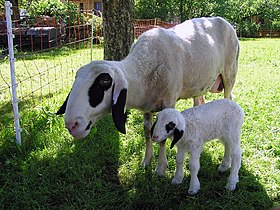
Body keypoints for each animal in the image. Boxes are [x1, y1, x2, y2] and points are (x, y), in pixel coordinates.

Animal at [56, 16, 238, 174]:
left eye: (105, 81)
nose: (72, 125)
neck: (144, 69)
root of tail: (223, 20)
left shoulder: (168, 102)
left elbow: (163, 137)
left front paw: (161, 168)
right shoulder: (147, 105)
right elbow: (147, 131)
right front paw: (146, 161)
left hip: (230, 73)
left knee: (228, 97)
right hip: (199, 84)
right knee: (199, 102)